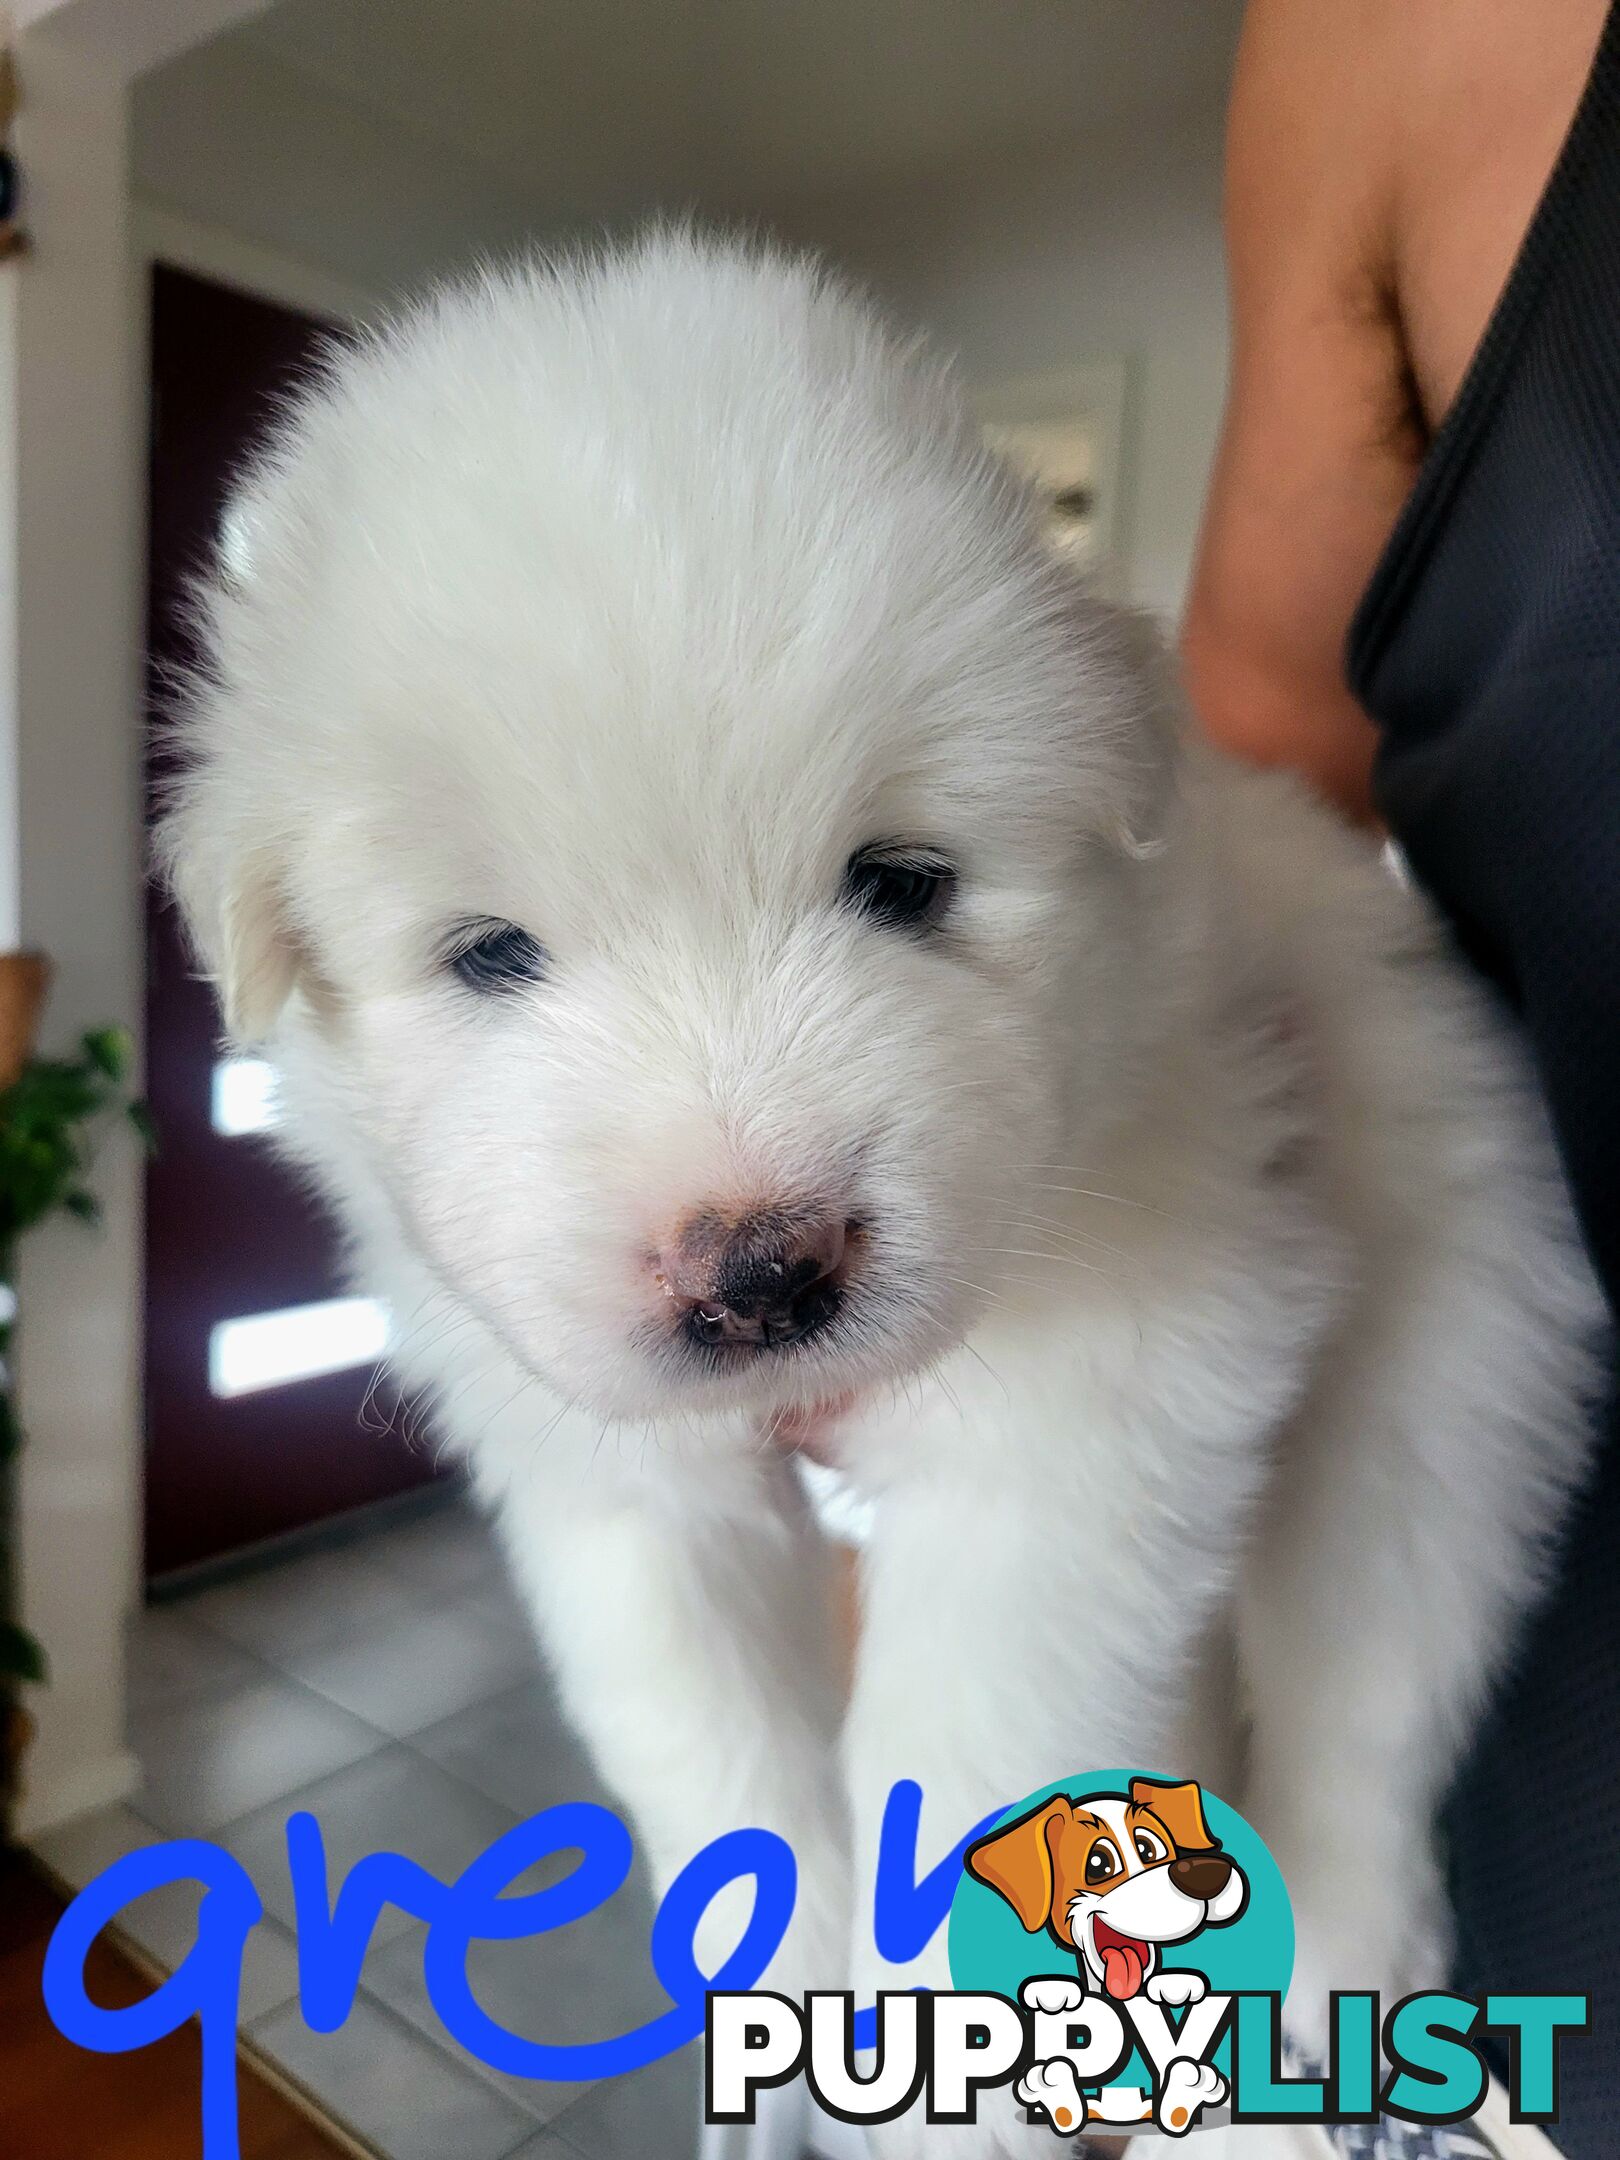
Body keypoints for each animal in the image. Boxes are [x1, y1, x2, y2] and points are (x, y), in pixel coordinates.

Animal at [162, 232, 1598, 2073]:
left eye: (904, 880)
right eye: (488, 954)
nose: (764, 1273)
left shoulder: (1106, 1402)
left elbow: (975, 1735)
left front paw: (941, 2057)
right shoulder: (607, 1473)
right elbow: (703, 1727)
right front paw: (783, 1982)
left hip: (1445, 1378)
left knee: (1371, 1698)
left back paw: (1348, 1975)